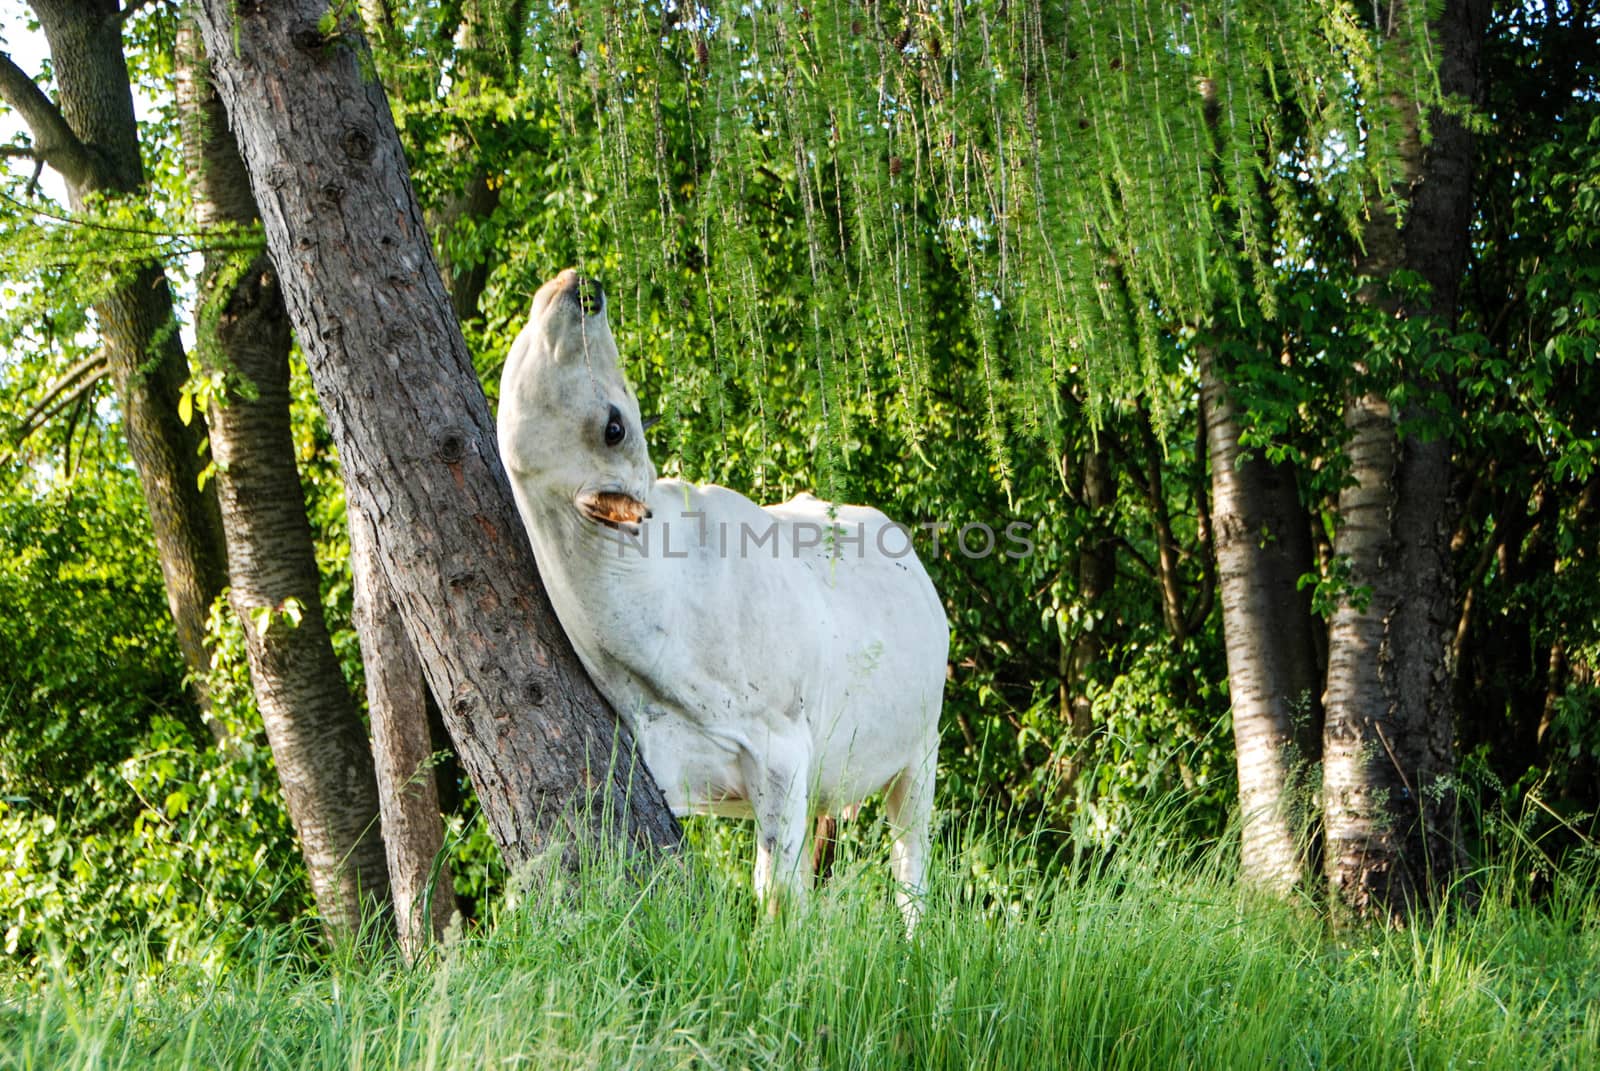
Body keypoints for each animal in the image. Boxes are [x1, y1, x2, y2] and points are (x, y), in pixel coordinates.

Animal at [499, 268, 947, 928]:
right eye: (615, 426)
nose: (584, 286)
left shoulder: (780, 747)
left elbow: (778, 896)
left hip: (921, 748)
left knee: (911, 864)